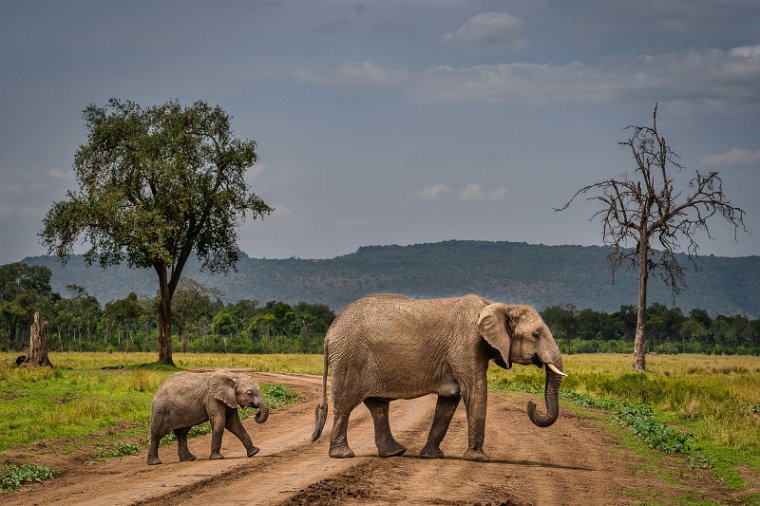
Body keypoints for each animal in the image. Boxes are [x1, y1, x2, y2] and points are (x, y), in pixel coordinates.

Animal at [308, 292, 564, 462]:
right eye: (536, 334)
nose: (532, 405)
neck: (497, 306)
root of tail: (329, 332)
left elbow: (450, 401)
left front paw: (432, 456)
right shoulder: (466, 343)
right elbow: (475, 390)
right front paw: (478, 458)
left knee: (377, 405)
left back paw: (394, 452)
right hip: (349, 357)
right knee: (345, 404)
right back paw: (343, 455)